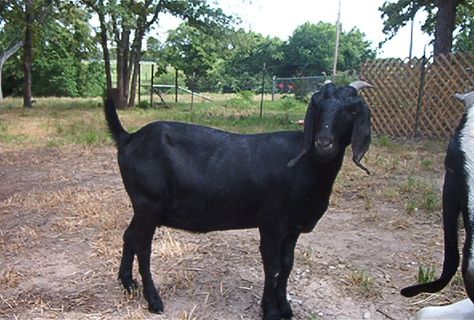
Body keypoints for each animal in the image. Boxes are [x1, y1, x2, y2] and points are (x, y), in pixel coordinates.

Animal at [103, 80, 374, 320]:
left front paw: (285, 307)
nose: (323, 143)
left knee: (130, 236)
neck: (306, 166)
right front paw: (270, 311)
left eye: (351, 111)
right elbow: (273, 265)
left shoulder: (292, 228)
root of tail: (129, 138)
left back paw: (128, 283)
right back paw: (154, 300)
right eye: (317, 107)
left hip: (143, 208)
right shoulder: (271, 223)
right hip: (148, 205)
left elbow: (287, 264)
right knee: (143, 248)